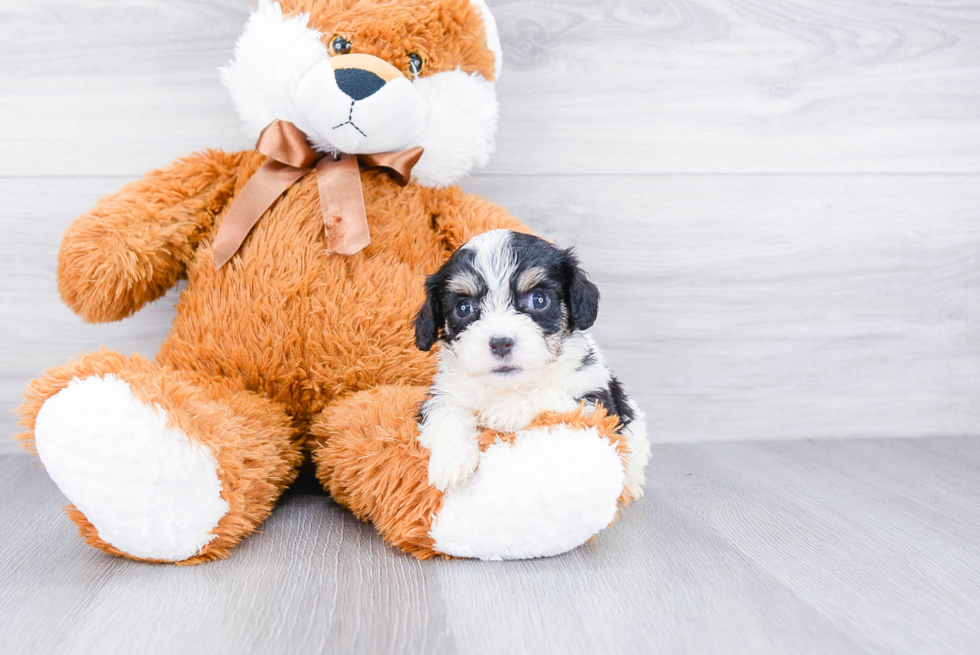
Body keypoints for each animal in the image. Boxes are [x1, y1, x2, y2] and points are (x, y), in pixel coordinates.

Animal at [416, 229, 652, 498]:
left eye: (538, 300)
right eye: (463, 308)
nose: (500, 343)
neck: (507, 386)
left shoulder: (596, 403)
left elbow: (552, 395)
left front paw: (507, 409)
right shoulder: (445, 392)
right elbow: (445, 413)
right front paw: (451, 460)